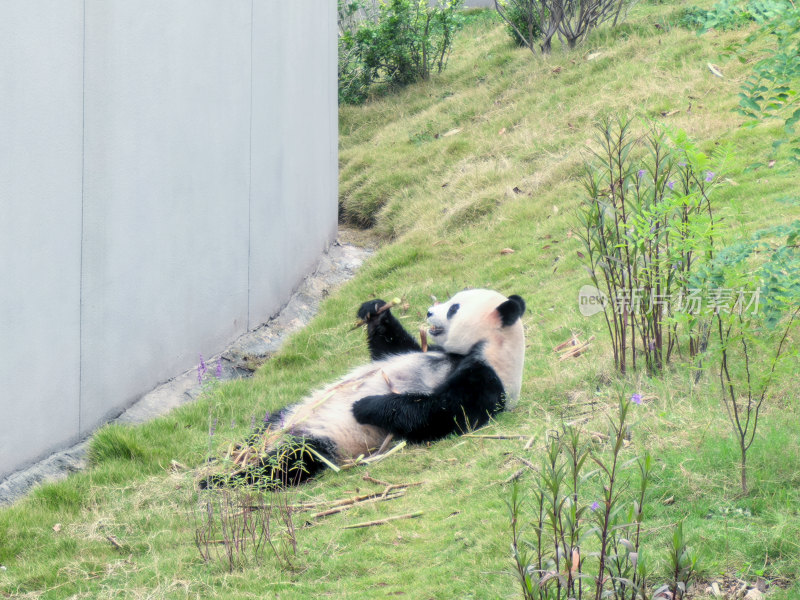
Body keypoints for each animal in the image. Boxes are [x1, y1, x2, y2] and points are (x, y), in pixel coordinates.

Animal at [200, 288, 524, 490]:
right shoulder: (428, 351)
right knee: (261, 430)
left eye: (454, 308)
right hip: (286, 416)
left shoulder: (486, 377)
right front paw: (375, 310)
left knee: (289, 463)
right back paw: (221, 460)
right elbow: (391, 348)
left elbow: (441, 412)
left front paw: (365, 405)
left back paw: (221, 480)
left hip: (328, 441)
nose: (430, 312)